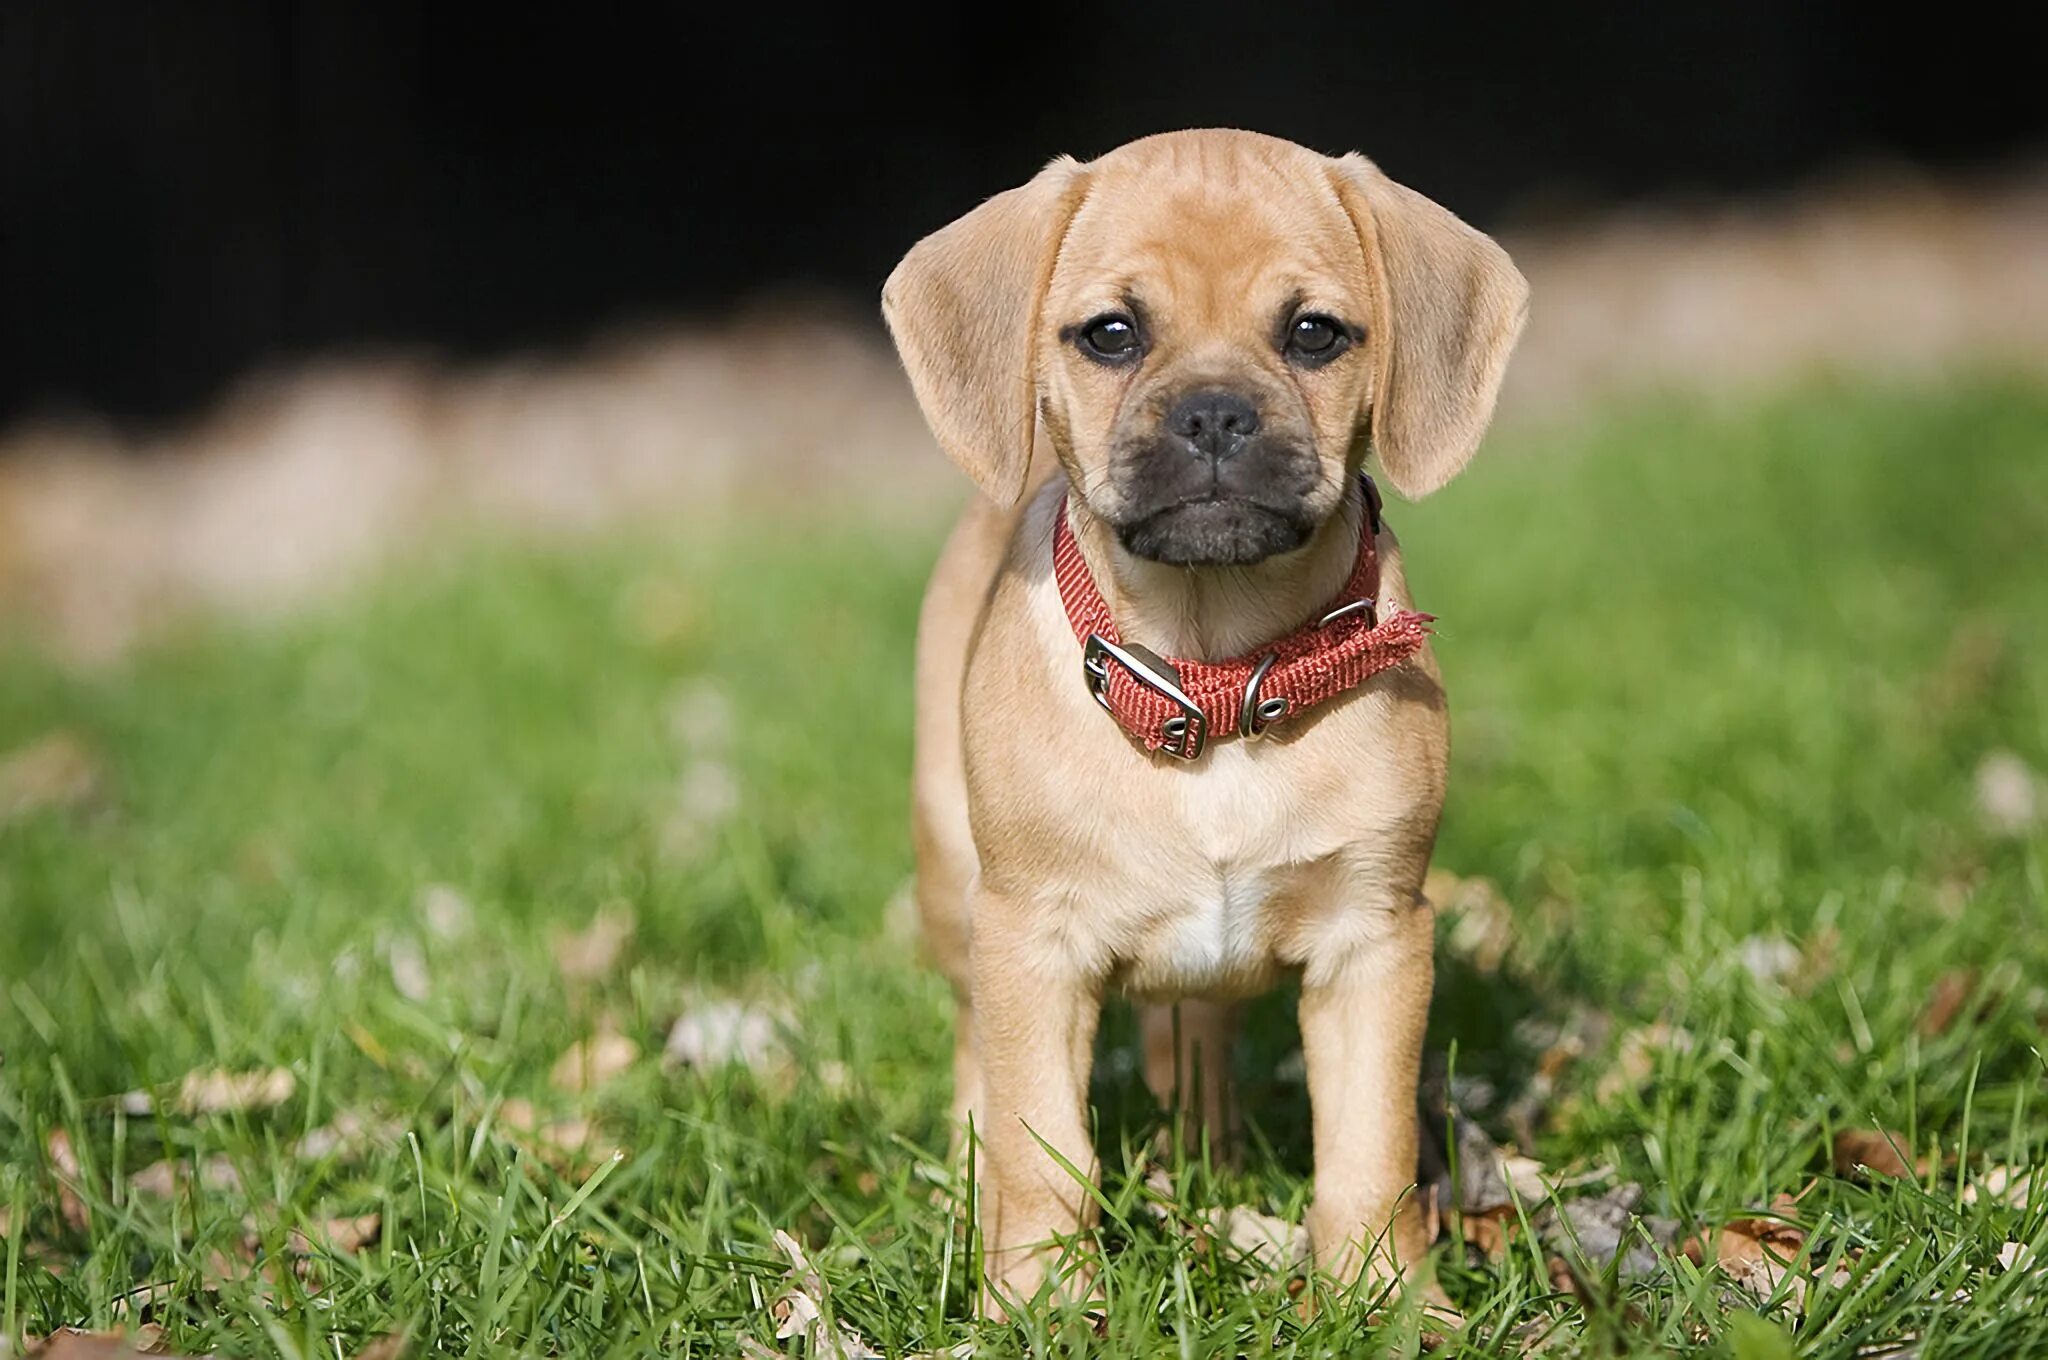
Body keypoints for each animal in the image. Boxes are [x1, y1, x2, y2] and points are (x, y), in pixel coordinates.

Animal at [876, 133, 1523, 1310]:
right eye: (1111, 333)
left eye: (1313, 333)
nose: (1216, 413)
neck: (1212, 670)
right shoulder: (1032, 946)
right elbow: (1042, 1151)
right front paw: (1040, 1302)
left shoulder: (1374, 942)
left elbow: (1368, 1155)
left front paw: (1387, 1301)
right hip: (956, 886)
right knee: (974, 1066)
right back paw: (963, 1196)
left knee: (1197, 1043)